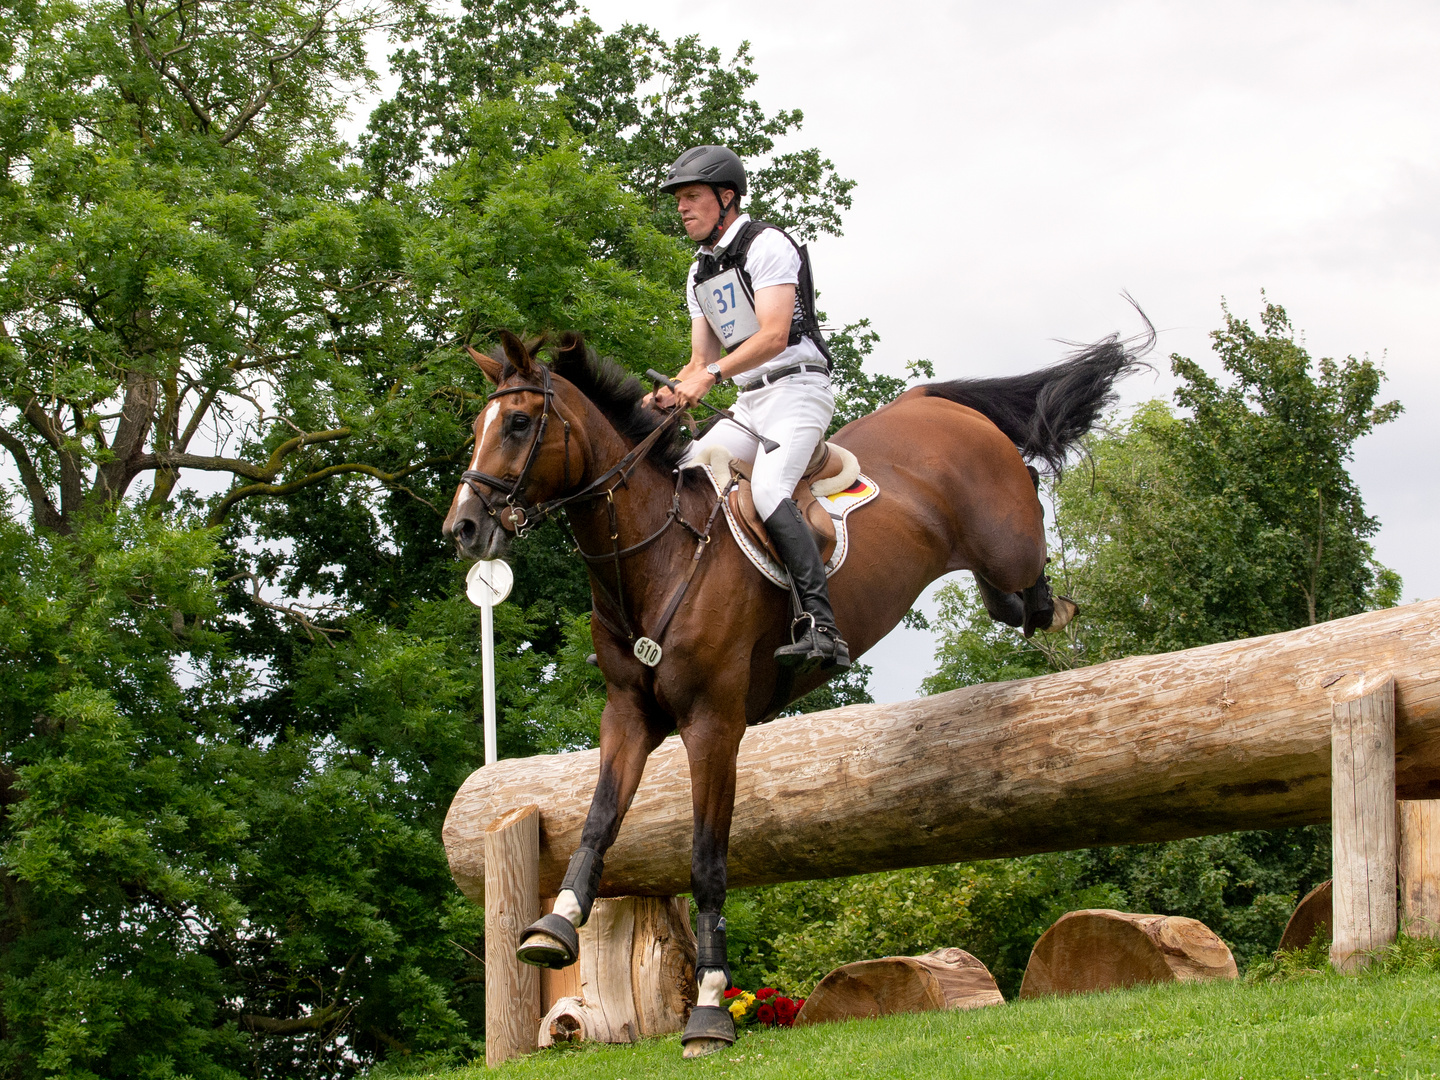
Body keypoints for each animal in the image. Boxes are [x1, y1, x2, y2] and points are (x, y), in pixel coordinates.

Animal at [443, 329, 1140, 1059]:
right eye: (478, 427)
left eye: (518, 424)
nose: (461, 530)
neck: (658, 557)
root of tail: (929, 402)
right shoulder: (629, 716)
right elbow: (599, 821)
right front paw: (556, 925)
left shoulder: (713, 725)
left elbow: (707, 861)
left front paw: (710, 1010)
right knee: (1009, 600)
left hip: (1004, 538)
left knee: (1028, 545)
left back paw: (1050, 600)